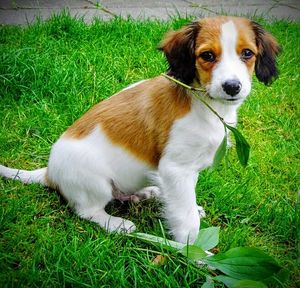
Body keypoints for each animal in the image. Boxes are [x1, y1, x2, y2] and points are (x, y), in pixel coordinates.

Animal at [0, 16, 278, 243]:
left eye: (247, 53)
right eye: (207, 56)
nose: (232, 87)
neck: (201, 101)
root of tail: (49, 173)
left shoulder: (186, 171)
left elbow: (187, 204)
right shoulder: (175, 169)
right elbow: (186, 218)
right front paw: (195, 253)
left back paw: (146, 194)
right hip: (95, 182)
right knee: (87, 211)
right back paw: (117, 224)